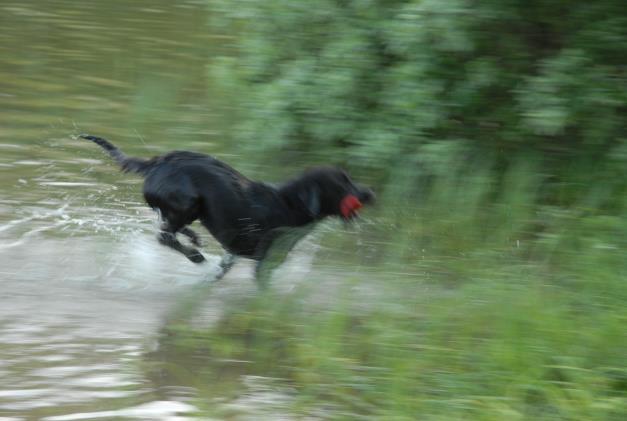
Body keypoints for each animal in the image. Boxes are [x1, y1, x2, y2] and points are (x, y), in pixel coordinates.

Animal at [78, 135, 372, 286]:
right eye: (344, 183)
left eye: (350, 178)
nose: (370, 193)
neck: (289, 205)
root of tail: (156, 163)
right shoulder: (265, 262)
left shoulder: (234, 254)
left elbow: (219, 272)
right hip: (187, 201)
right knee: (164, 236)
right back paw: (195, 254)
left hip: (188, 209)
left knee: (169, 229)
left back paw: (194, 241)